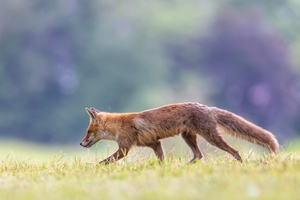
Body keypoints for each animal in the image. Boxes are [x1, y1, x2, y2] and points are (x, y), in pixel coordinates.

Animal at [79, 103, 278, 164]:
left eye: (88, 131)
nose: (81, 143)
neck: (119, 125)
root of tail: (206, 107)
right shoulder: (154, 143)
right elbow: (161, 160)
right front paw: (163, 171)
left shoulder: (125, 147)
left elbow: (106, 161)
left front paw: (95, 168)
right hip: (188, 137)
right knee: (198, 155)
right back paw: (184, 167)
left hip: (211, 137)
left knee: (234, 151)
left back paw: (241, 165)